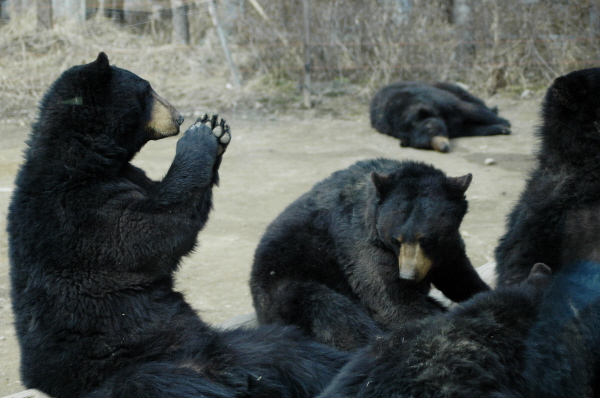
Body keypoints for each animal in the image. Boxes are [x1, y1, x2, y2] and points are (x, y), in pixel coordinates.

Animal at [7, 52, 350, 398]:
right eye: (147, 90)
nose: (179, 116)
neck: (86, 156)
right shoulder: (81, 209)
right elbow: (151, 228)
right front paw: (201, 135)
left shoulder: (126, 178)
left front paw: (216, 130)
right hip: (134, 366)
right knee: (167, 383)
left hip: (234, 344)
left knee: (290, 351)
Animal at [248, 159, 488, 352]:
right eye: (396, 239)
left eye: (427, 240)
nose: (408, 276)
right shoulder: (360, 241)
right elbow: (390, 298)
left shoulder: (446, 247)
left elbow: (458, 275)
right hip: (285, 282)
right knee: (329, 312)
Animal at [370, 81, 510, 152]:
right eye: (427, 145)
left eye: (433, 130)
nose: (444, 148)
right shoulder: (453, 128)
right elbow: (470, 129)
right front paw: (500, 129)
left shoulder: (439, 102)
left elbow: (469, 110)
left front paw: (505, 123)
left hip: (444, 87)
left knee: (470, 99)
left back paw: (494, 109)